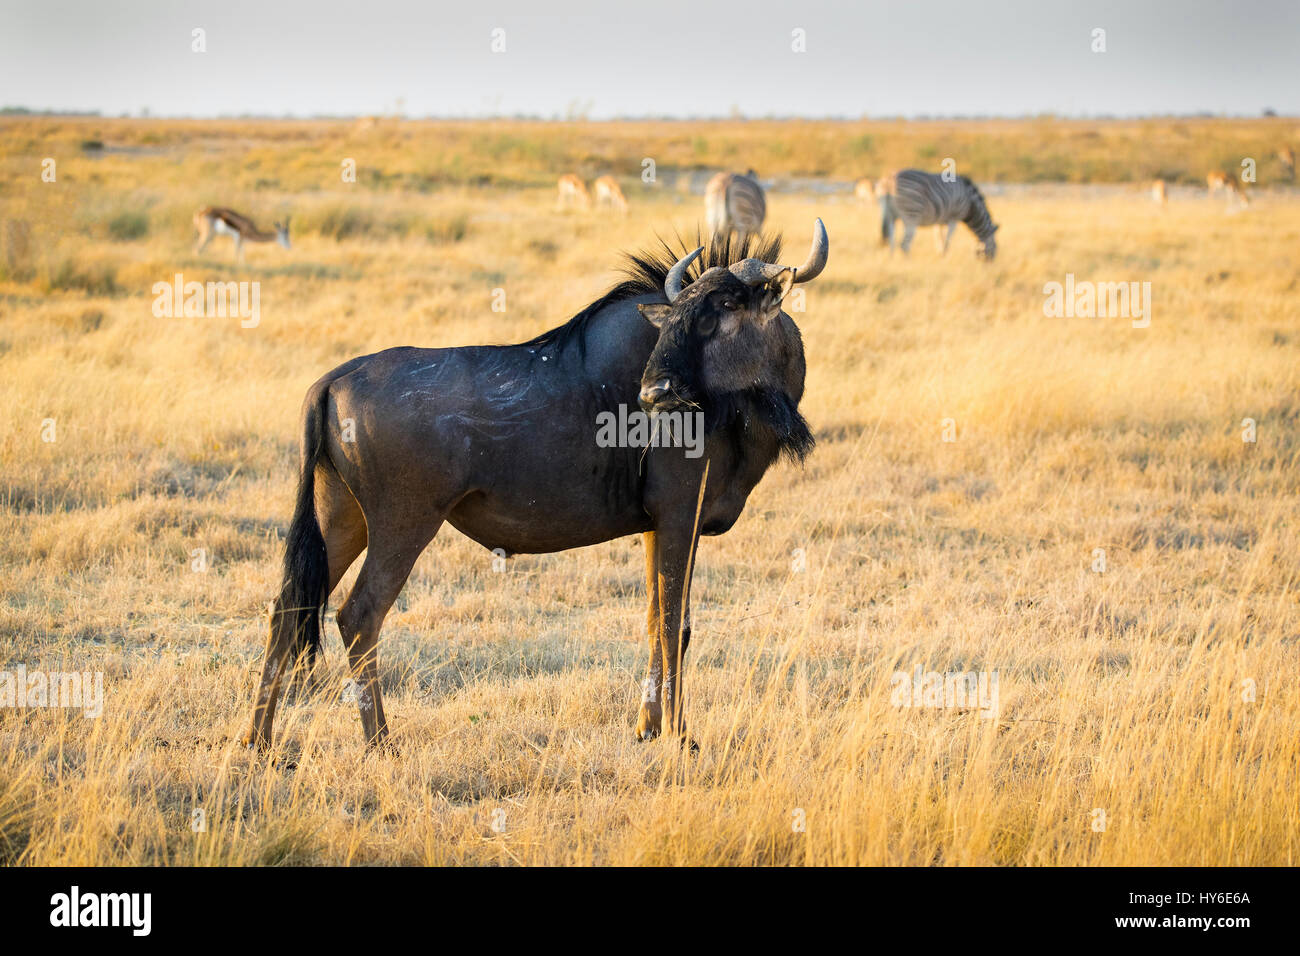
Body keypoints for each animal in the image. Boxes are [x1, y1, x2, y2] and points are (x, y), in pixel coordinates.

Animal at [243, 221, 826, 749]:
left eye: (726, 306)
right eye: (678, 316)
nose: (654, 394)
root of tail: (335, 379)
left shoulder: (656, 527)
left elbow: (654, 618)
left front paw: (646, 728)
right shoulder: (681, 516)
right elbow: (673, 626)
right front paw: (680, 737)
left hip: (341, 521)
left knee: (287, 606)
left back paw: (257, 741)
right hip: (402, 526)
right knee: (359, 615)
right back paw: (381, 742)